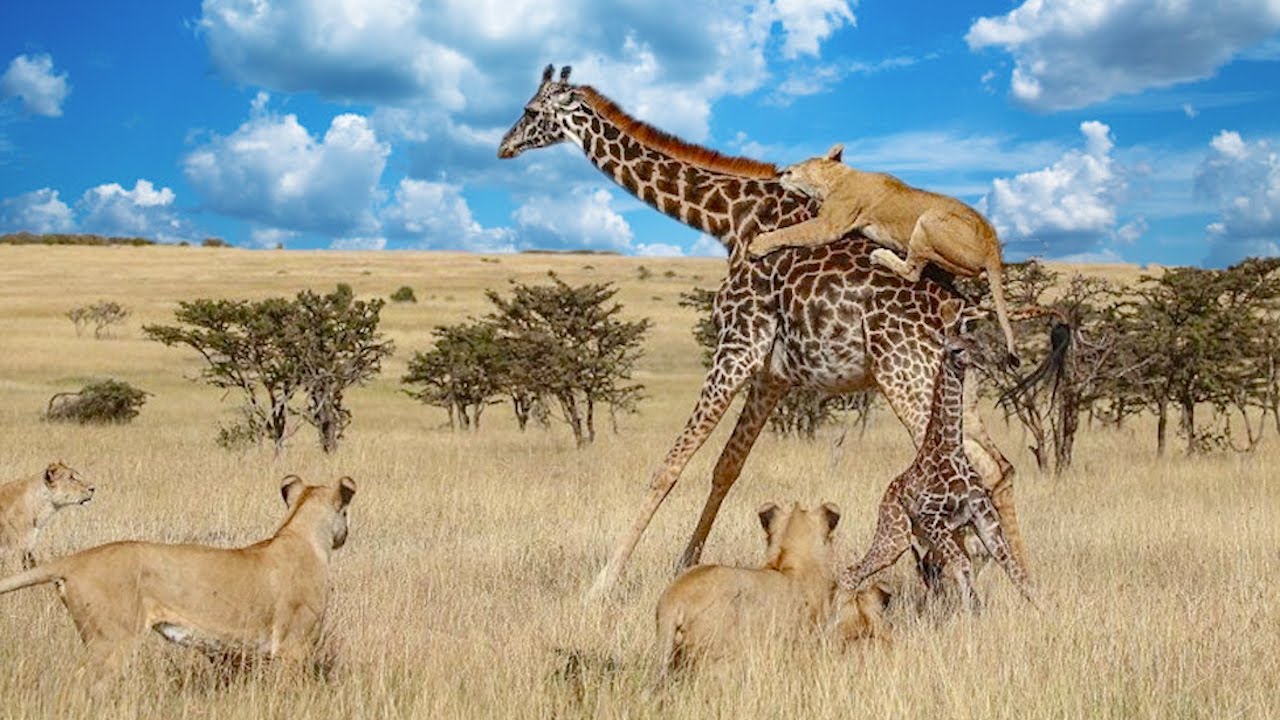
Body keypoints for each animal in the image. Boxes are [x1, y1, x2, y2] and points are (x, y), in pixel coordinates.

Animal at [0, 474, 355, 686]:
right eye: (346, 512)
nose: (346, 535)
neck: (301, 533)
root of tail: (78, 558)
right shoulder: (294, 645)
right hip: (111, 640)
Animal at [748, 143, 1019, 366]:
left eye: (797, 167)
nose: (782, 172)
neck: (836, 178)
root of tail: (993, 248)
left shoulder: (829, 225)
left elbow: (790, 232)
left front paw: (758, 245)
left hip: (928, 219)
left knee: (912, 271)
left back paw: (881, 256)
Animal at [840, 300, 1035, 611]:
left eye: (975, 342)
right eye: (955, 349)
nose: (982, 360)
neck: (951, 450)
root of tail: (886, 495)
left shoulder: (983, 519)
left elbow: (1015, 570)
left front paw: (1041, 611)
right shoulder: (933, 520)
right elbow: (962, 566)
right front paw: (970, 614)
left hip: (910, 538)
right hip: (894, 534)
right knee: (852, 572)